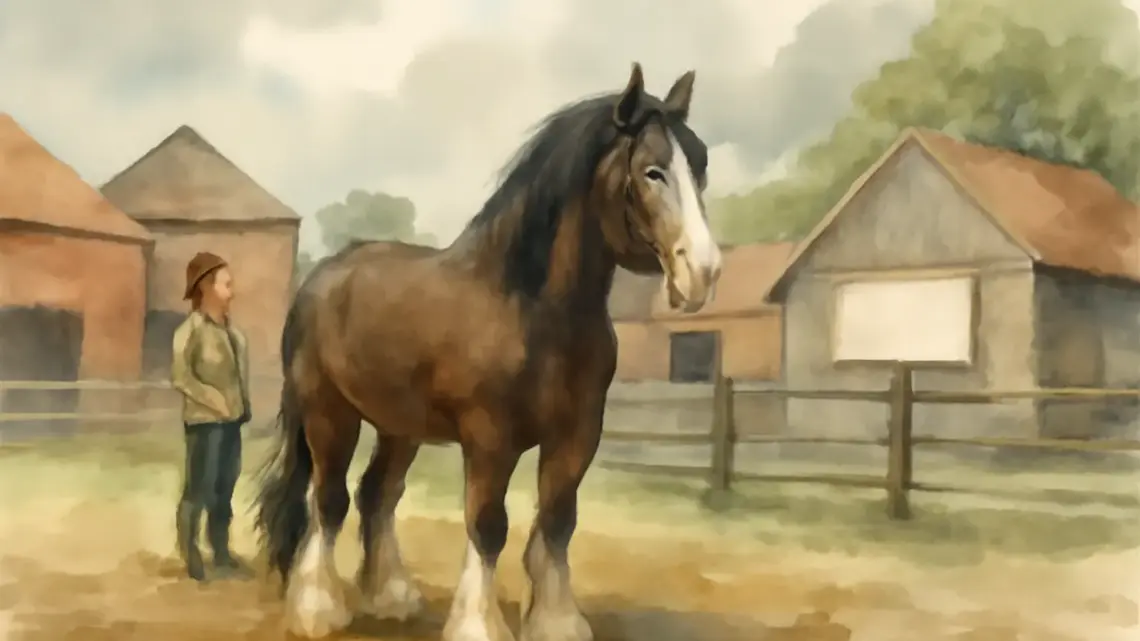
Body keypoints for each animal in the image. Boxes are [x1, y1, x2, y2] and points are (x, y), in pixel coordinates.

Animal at [254, 62, 722, 641]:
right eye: (653, 171)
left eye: (700, 166)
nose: (703, 273)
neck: (532, 309)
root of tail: (319, 280)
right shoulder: (489, 439)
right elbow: (488, 525)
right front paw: (478, 625)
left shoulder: (577, 435)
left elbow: (558, 520)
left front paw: (557, 621)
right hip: (328, 412)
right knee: (329, 498)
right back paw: (317, 608)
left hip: (399, 427)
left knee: (377, 494)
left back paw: (391, 595)